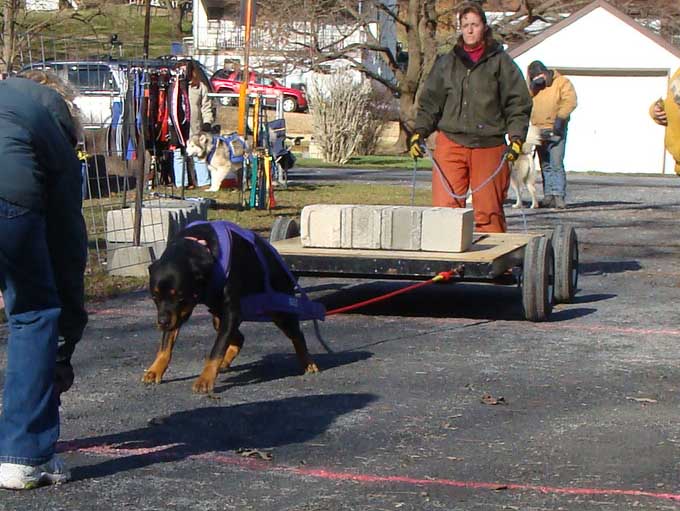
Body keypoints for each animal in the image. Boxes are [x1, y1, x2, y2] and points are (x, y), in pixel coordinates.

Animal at [143, 222, 318, 394]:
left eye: (180, 297)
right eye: (154, 297)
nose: (162, 322)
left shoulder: (230, 312)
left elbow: (217, 349)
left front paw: (205, 379)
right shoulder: (177, 314)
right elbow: (166, 345)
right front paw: (155, 369)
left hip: (280, 310)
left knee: (297, 335)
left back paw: (308, 362)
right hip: (217, 316)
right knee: (239, 338)